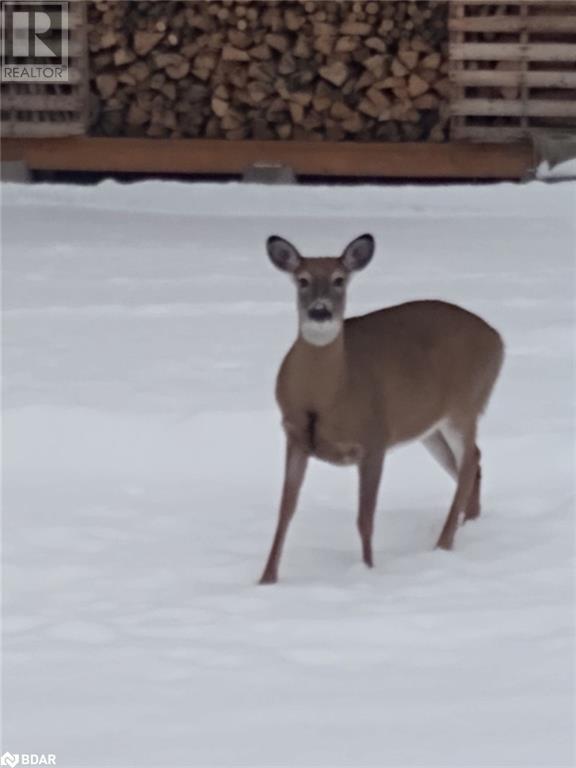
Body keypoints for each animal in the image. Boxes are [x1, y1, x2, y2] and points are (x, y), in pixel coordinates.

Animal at [258, 231, 502, 584]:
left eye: (339, 279)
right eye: (302, 280)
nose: (320, 311)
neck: (326, 395)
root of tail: (498, 339)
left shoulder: (374, 437)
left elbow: (365, 517)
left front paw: (368, 571)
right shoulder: (295, 436)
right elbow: (285, 511)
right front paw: (266, 578)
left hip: (466, 404)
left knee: (469, 461)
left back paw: (443, 544)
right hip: (429, 426)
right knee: (471, 463)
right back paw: (468, 525)